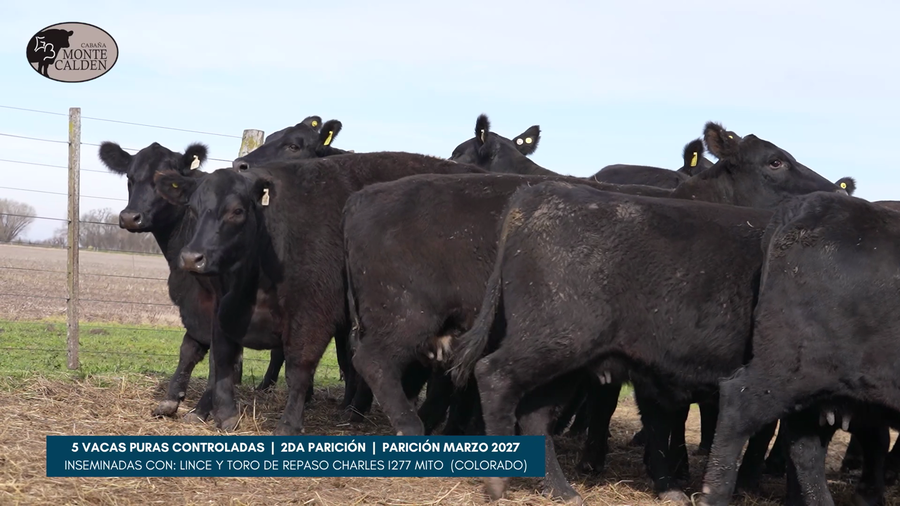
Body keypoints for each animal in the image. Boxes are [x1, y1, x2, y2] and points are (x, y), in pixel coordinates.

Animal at [98, 124, 345, 419]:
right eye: (130, 178)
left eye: (162, 180)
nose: (130, 217)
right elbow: (190, 348)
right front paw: (172, 399)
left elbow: (219, 355)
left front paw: (204, 408)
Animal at [154, 153, 487, 434]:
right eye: (193, 210)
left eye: (236, 211)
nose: (192, 257)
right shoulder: (224, 310)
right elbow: (221, 359)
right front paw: (223, 414)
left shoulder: (312, 315)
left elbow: (298, 370)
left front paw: (288, 425)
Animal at [344, 122, 849, 476]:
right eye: (775, 162)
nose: (836, 191)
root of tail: (366, 196)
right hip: (406, 311)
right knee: (373, 361)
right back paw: (412, 429)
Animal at [699, 191, 900, 506]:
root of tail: (811, 203)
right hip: (789, 369)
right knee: (739, 405)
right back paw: (714, 494)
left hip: (819, 388)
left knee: (805, 446)